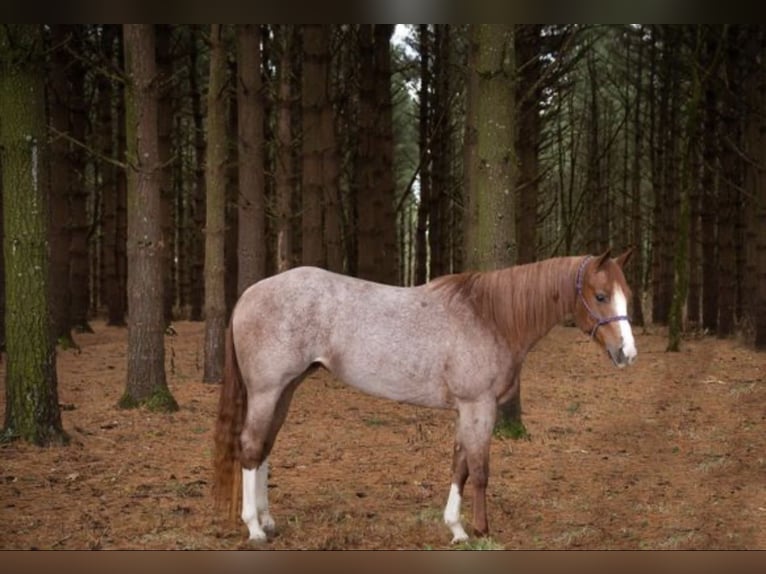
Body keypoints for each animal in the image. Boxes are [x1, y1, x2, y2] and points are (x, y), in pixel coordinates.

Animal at [213, 250, 640, 548]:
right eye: (601, 295)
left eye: (627, 295)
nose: (627, 354)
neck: (490, 318)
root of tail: (250, 293)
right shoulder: (479, 405)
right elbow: (479, 469)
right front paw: (481, 529)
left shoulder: (466, 409)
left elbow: (459, 466)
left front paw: (456, 528)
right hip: (267, 390)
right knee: (250, 447)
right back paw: (254, 528)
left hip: (286, 388)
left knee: (266, 447)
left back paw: (268, 521)